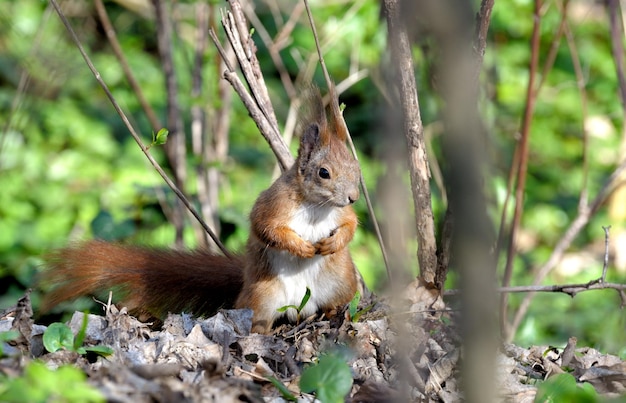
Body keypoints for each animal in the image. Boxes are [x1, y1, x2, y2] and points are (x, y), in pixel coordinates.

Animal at [40, 87, 360, 334]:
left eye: (356, 169)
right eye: (324, 173)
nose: (354, 197)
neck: (315, 207)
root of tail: (299, 309)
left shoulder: (341, 213)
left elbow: (350, 224)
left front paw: (334, 242)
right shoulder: (275, 204)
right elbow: (265, 228)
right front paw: (301, 247)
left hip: (339, 284)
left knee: (335, 303)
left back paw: (333, 313)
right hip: (263, 296)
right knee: (258, 320)